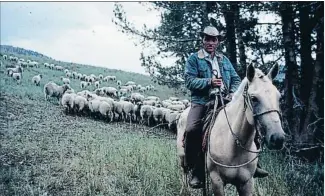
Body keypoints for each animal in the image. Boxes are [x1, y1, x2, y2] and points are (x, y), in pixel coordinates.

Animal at [176, 63, 284, 196]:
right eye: (254, 98)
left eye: (279, 98)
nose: (278, 138)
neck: (234, 146)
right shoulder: (217, 181)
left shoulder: (247, 183)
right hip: (182, 158)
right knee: (184, 172)